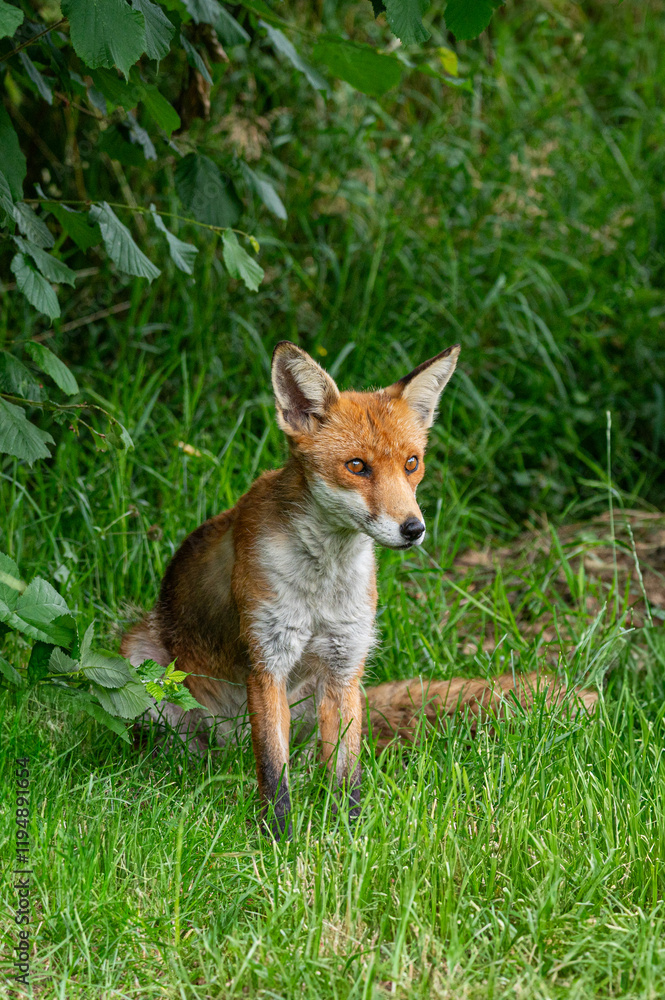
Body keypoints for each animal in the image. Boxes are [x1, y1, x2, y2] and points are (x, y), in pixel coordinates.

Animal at [121, 342, 597, 837]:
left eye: (411, 464)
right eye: (357, 467)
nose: (413, 529)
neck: (322, 585)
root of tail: (229, 744)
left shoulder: (344, 663)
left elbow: (346, 772)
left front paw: (348, 837)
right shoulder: (268, 660)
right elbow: (272, 769)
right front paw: (279, 839)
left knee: (309, 761)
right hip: (143, 667)